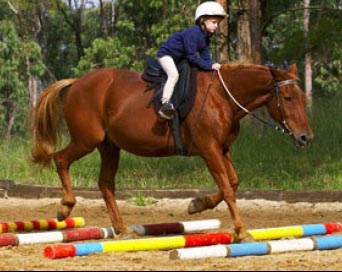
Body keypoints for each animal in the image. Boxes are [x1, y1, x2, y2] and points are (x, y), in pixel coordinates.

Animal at [31, 63, 312, 240]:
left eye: (301, 97)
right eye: (288, 98)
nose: (305, 137)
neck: (223, 97)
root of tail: (77, 82)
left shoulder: (222, 149)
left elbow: (232, 182)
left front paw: (196, 205)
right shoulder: (209, 150)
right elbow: (229, 189)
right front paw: (241, 231)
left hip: (110, 147)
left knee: (106, 184)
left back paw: (122, 230)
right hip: (87, 140)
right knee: (60, 159)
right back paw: (65, 208)